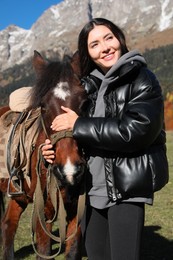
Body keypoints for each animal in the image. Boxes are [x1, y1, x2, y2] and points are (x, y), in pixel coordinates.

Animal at [0, 49, 86, 258]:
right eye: (44, 107)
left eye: (84, 103)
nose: (70, 170)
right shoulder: (43, 213)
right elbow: (44, 251)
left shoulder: (76, 211)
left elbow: (72, 251)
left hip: (18, 194)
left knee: (8, 224)